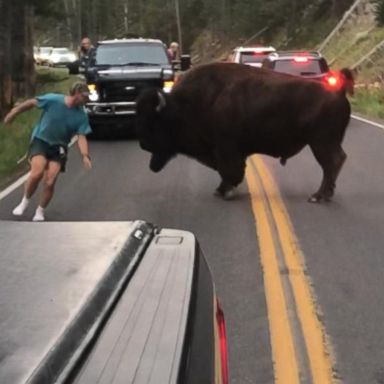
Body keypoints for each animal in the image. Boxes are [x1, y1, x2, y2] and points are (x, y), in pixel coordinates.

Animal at [136, 61, 354, 202]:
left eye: (154, 121)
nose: (143, 144)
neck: (183, 105)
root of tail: (338, 91)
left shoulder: (225, 149)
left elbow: (229, 170)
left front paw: (224, 192)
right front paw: (221, 190)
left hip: (321, 142)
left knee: (332, 163)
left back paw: (318, 196)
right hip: (324, 142)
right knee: (334, 163)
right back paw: (325, 194)